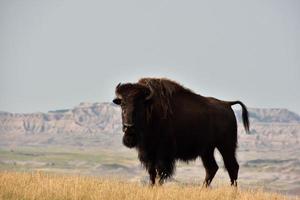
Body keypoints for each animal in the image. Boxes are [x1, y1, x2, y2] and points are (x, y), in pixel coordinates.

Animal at [112, 77, 248, 187]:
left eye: (139, 105)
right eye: (122, 105)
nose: (128, 127)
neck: (151, 109)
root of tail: (227, 104)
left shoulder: (163, 154)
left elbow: (161, 173)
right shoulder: (148, 153)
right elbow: (152, 174)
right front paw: (151, 187)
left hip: (226, 146)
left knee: (232, 166)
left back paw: (232, 191)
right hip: (207, 150)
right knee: (212, 168)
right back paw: (202, 189)